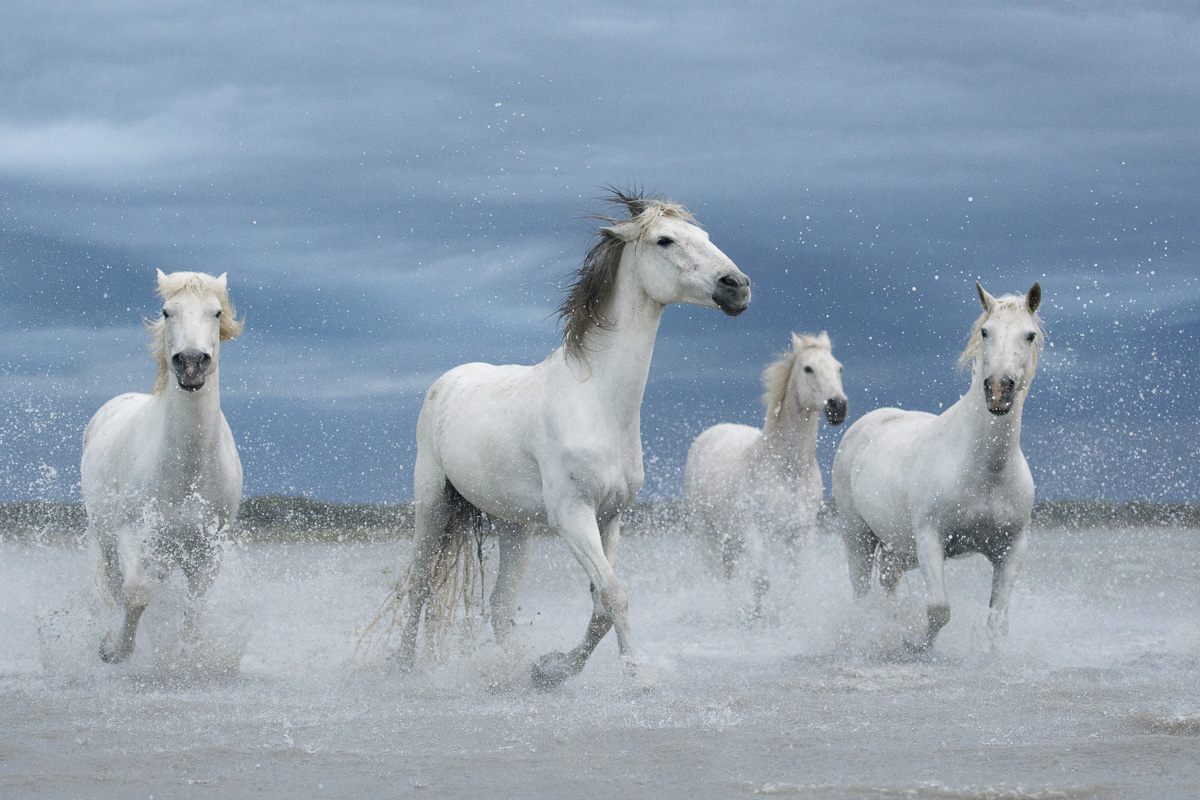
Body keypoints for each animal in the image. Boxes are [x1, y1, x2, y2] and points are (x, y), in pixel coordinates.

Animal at [80, 268, 243, 662]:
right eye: (167, 311)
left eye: (216, 312)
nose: (191, 362)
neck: (187, 470)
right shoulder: (130, 534)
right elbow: (136, 596)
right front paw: (113, 649)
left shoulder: (208, 550)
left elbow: (193, 609)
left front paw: (184, 658)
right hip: (108, 541)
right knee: (117, 586)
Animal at [388, 189, 748, 690]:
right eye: (665, 240)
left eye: (706, 235)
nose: (738, 286)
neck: (596, 400)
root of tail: (446, 382)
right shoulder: (573, 517)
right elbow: (615, 595)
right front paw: (637, 674)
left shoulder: (610, 517)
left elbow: (600, 608)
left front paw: (552, 669)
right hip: (434, 506)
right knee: (420, 585)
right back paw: (403, 668)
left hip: (513, 527)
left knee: (500, 604)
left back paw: (511, 667)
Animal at [691, 331, 849, 614]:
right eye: (808, 368)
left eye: (838, 367)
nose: (837, 406)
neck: (787, 470)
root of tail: (709, 434)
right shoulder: (754, 531)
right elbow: (762, 581)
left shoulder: (801, 534)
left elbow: (793, 583)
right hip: (705, 529)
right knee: (714, 572)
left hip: (731, 537)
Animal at [830, 283, 1046, 652]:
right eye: (986, 332)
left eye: (1029, 335)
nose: (998, 390)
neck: (984, 469)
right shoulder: (930, 538)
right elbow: (939, 609)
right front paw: (916, 644)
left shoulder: (1011, 549)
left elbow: (996, 621)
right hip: (858, 537)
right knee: (862, 596)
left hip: (898, 548)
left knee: (888, 586)